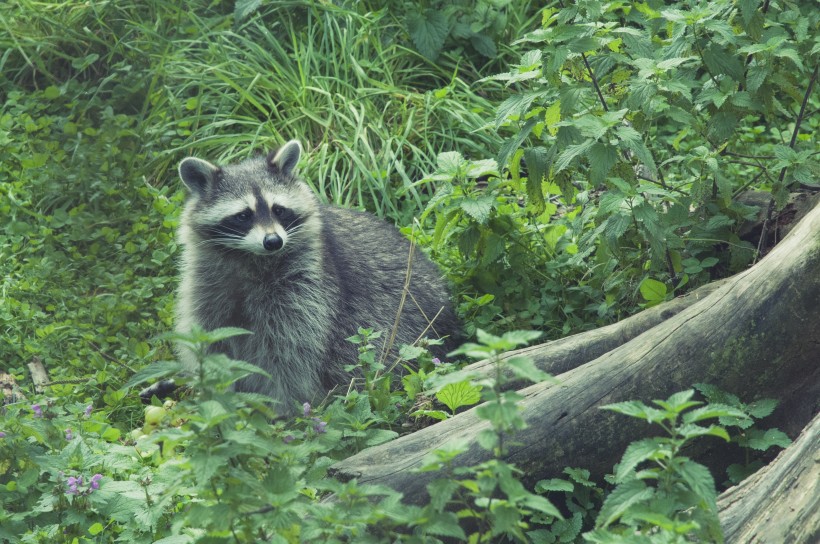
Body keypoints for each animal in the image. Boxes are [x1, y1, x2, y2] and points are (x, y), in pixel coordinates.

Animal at [175, 140, 454, 412]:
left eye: (279, 210)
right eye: (244, 215)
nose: (273, 242)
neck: (251, 259)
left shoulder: (307, 288)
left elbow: (290, 353)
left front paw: (284, 407)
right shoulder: (208, 287)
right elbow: (213, 345)